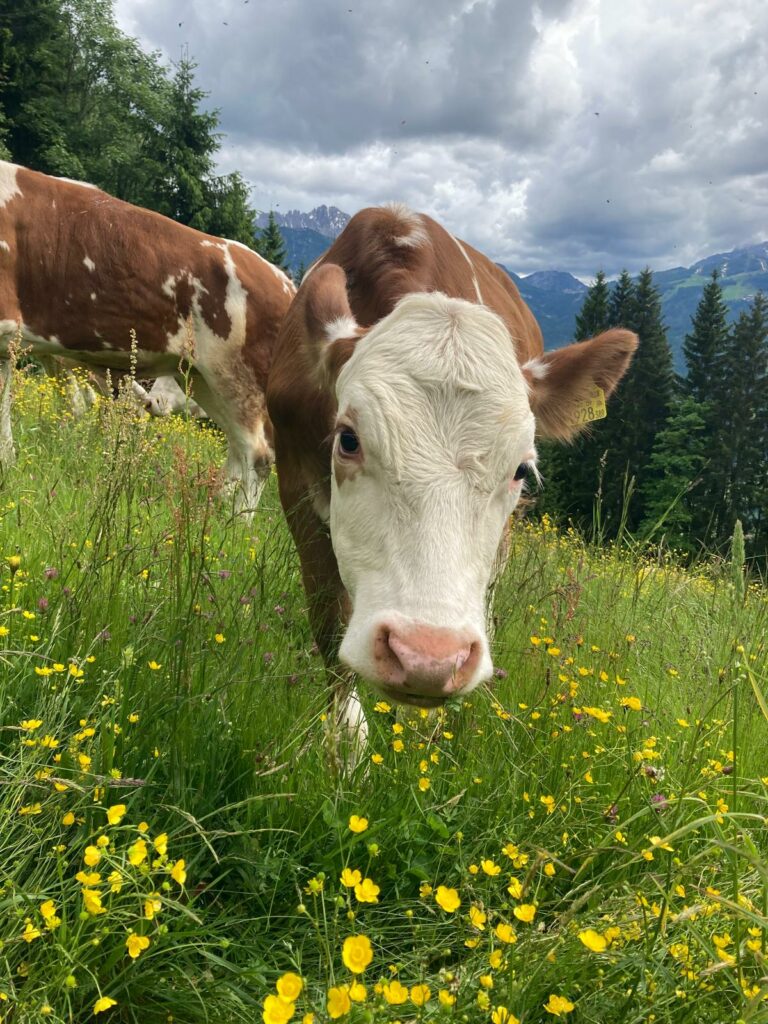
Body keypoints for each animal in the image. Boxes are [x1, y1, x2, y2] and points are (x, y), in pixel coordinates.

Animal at [0, 161, 295, 509]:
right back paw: (216, 508)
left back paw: (236, 518)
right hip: (202, 378)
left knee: (258, 454)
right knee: (237, 449)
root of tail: (284, 282)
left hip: (237, 378)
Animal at [267, 204, 637, 714]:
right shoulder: (296, 485)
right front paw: (346, 730)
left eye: (521, 469)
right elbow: (328, 616)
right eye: (348, 440)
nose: (428, 657)